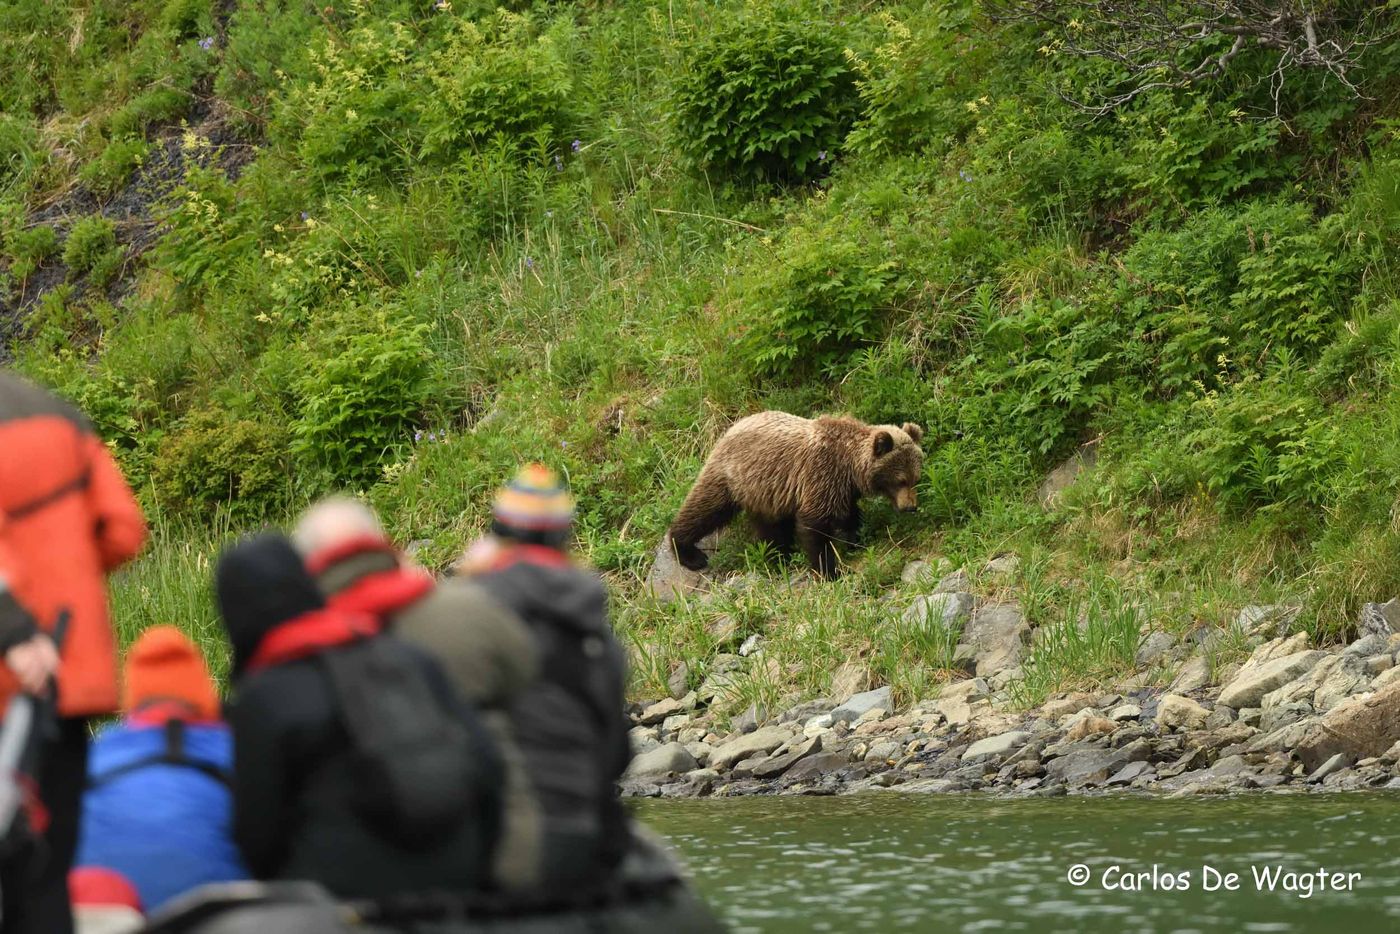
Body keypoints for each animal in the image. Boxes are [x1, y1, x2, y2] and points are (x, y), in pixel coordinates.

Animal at [669, 414, 924, 579]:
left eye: (916, 478)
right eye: (900, 480)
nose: (910, 506)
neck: (849, 466)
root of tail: (729, 428)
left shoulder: (843, 489)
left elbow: (849, 515)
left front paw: (855, 538)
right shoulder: (820, 474)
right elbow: (814, 525)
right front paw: (829, 570)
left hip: (764, 493)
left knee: (769, 526)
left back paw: (777, 554)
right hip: (732, 477)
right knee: (706, 508)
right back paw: (688, 552)